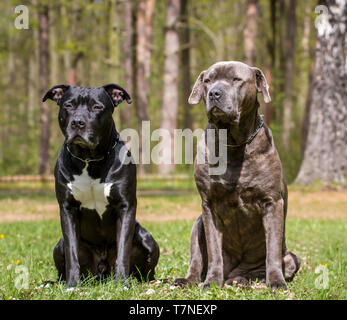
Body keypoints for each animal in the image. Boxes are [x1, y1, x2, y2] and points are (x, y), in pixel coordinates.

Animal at [42, 83, 160, 288]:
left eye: (97, 107)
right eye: (69, 105)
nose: (78, 122)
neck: (90, 159)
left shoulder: (125, 206)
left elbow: (123, 248)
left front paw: (122, 283)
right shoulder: (67, 208)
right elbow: (72, 251)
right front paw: (72, 284)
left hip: (149, 242)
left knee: (145, 272)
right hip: (58, 247)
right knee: (62, 266)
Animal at [175, 60, 300, 290]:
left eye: (236, 79)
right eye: (208, 80)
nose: (214, 93)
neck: (233, 143)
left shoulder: (272, 202)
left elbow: (272, 251)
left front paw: (276, 282)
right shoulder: (209, 205)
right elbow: (214, 251)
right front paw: (211, 282)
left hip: (292, 258)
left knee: (268, 266)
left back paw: (243, 280)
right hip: (197, 224)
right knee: (197, 260)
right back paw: (191, 280)